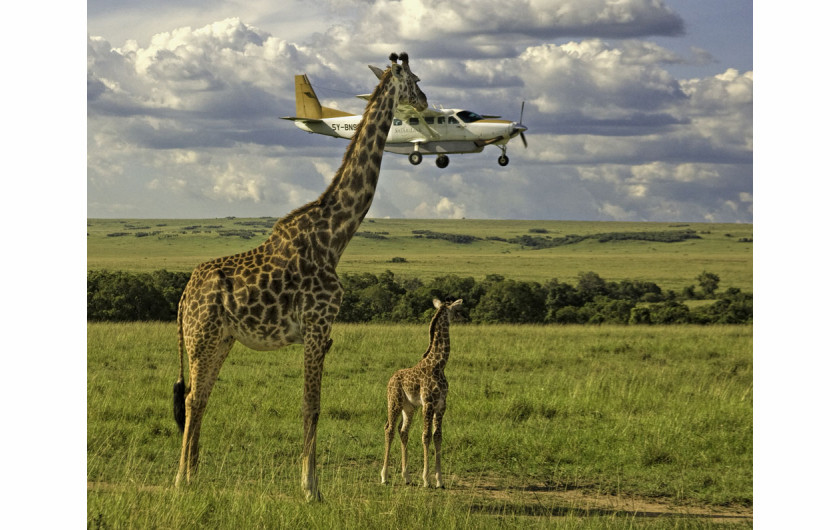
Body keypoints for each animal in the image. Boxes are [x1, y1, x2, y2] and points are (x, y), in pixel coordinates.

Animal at [175, 52, 430, 500]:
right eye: (413, 79)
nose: (425, 100)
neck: (335, 236)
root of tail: (184, 295)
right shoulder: (315, 326)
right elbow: (311, 407)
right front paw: (311, 488)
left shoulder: (323, 333)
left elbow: (312, 406)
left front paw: (311, 484)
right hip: (200, 336)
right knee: (191, 399)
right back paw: (180, 480)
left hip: (221, 339)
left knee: (200, 397)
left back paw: (193, 476)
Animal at [382, 296, 462, 486]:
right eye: (455, 309)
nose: (463, 317)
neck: (439, 365)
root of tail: (390, 379)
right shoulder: (428, 403)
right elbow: (426, 436)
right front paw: (426, 479)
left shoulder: (441, 405)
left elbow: (437, 436)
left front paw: (440, 480)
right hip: (394, 402)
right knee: (389, 429)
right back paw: (384, 476)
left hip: (409, 407)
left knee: (403, 431)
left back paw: (406, 477)